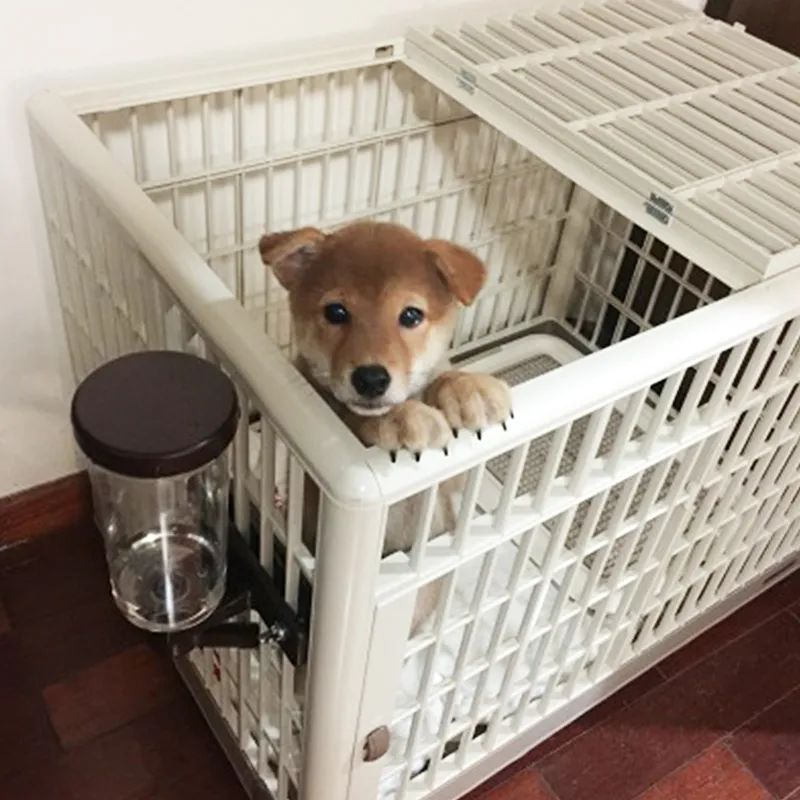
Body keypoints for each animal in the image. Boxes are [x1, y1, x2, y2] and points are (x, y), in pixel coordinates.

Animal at [259, 221, 511, 631]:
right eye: (336, 311)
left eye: (410, 316)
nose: (371, 379)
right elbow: (352, 416)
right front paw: (403, 417)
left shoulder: (449, 483)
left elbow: (443, 377)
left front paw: (468, 388)